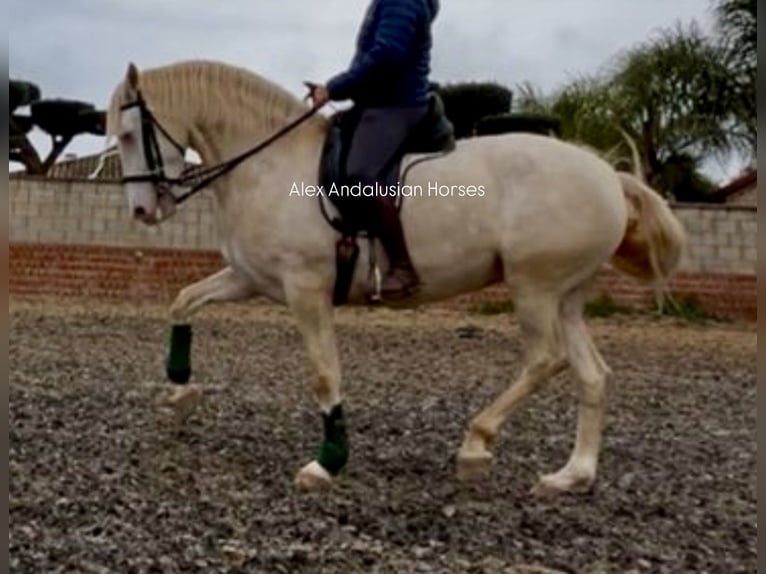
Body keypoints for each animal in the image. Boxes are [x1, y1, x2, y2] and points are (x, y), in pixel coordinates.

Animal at [105, 60, 688, 498]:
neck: (269, 165)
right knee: (592, 375)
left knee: (546, 360)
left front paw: (326, 463)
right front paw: (180, 392)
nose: (141, 211)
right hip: (565, 296)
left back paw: (476, 444)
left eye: (131, 134)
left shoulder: (305, 289)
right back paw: (572, 476)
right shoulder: (251, 278)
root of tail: (607, 174)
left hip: (534, 288)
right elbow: (183, 301)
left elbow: (324, 375)